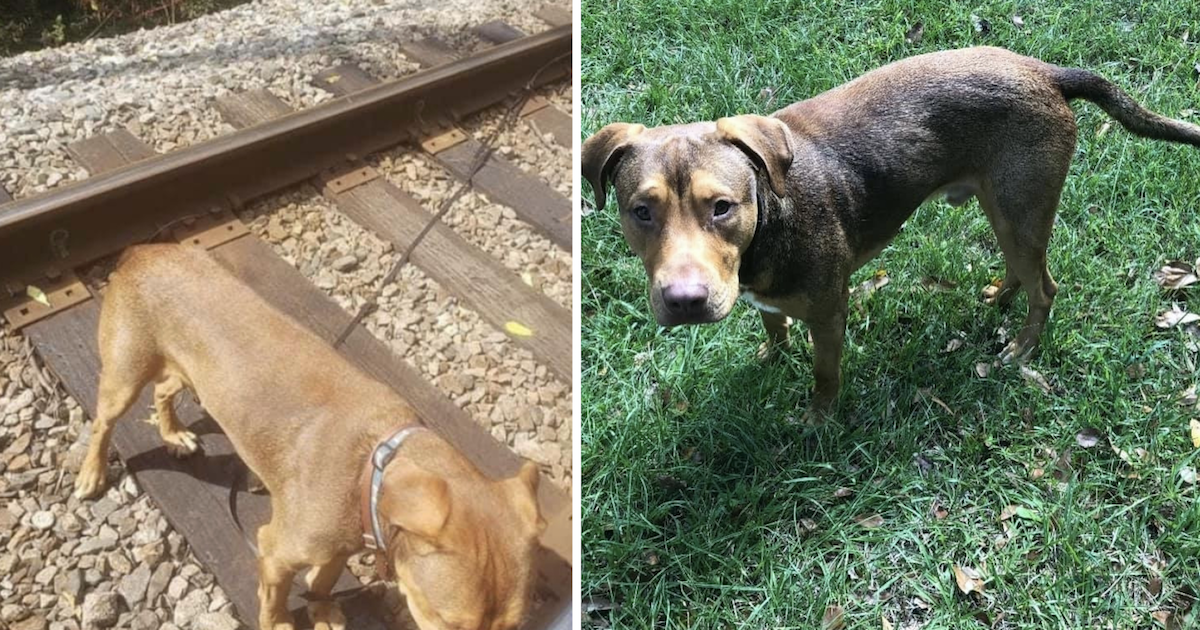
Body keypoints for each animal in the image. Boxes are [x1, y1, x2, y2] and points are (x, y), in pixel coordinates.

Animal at [583, 45, 1200, 417]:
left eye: (721, 207)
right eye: (641, 210)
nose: (685, 301)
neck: (768, 222)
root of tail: (1044, 70)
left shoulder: (830, 314)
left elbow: (825, 373)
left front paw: (819, 417)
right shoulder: (768, 301)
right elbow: (775, 327)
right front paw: (771, 358)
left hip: (1021, 208)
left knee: (1046, 287)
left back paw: (1019, 349)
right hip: (1003, 209)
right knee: (1022, 273)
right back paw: (998, 298)